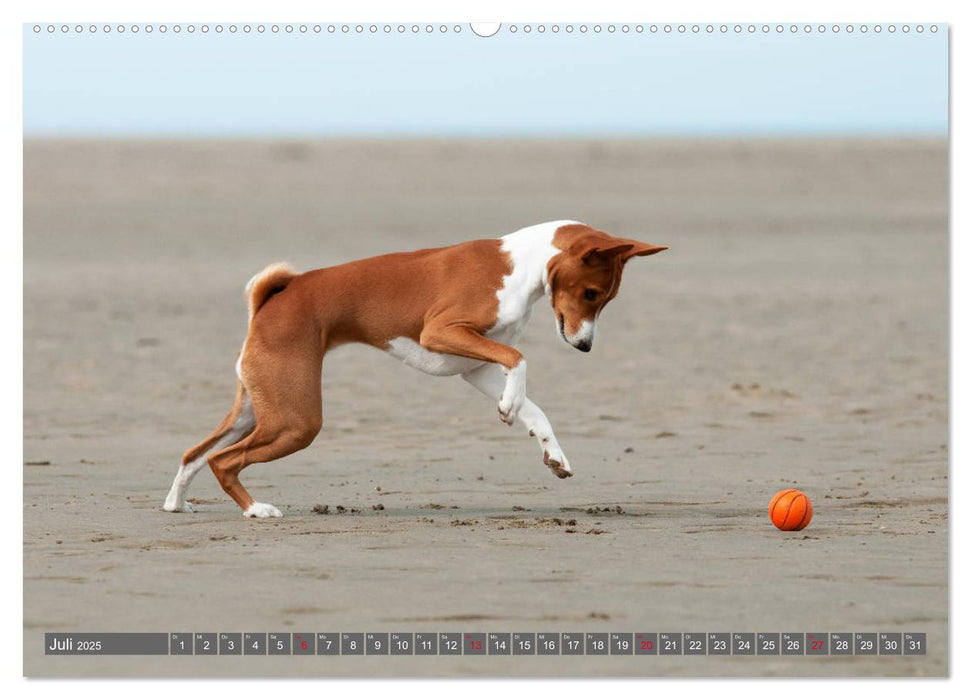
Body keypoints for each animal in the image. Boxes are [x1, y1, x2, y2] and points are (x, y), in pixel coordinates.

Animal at [167, 221, 668, 516]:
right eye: (591, 293)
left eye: (605, 298)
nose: (585, 346)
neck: (522, 266)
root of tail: (272, 298)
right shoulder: (442, 332)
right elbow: (521, 362)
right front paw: (510, 406)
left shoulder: (473, 365)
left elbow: (534, 407)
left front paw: (553, 453)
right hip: (296, 420)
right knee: (222, 459)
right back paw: (255, 510)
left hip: (258, 409)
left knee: (195, 452)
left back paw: (176, 504)